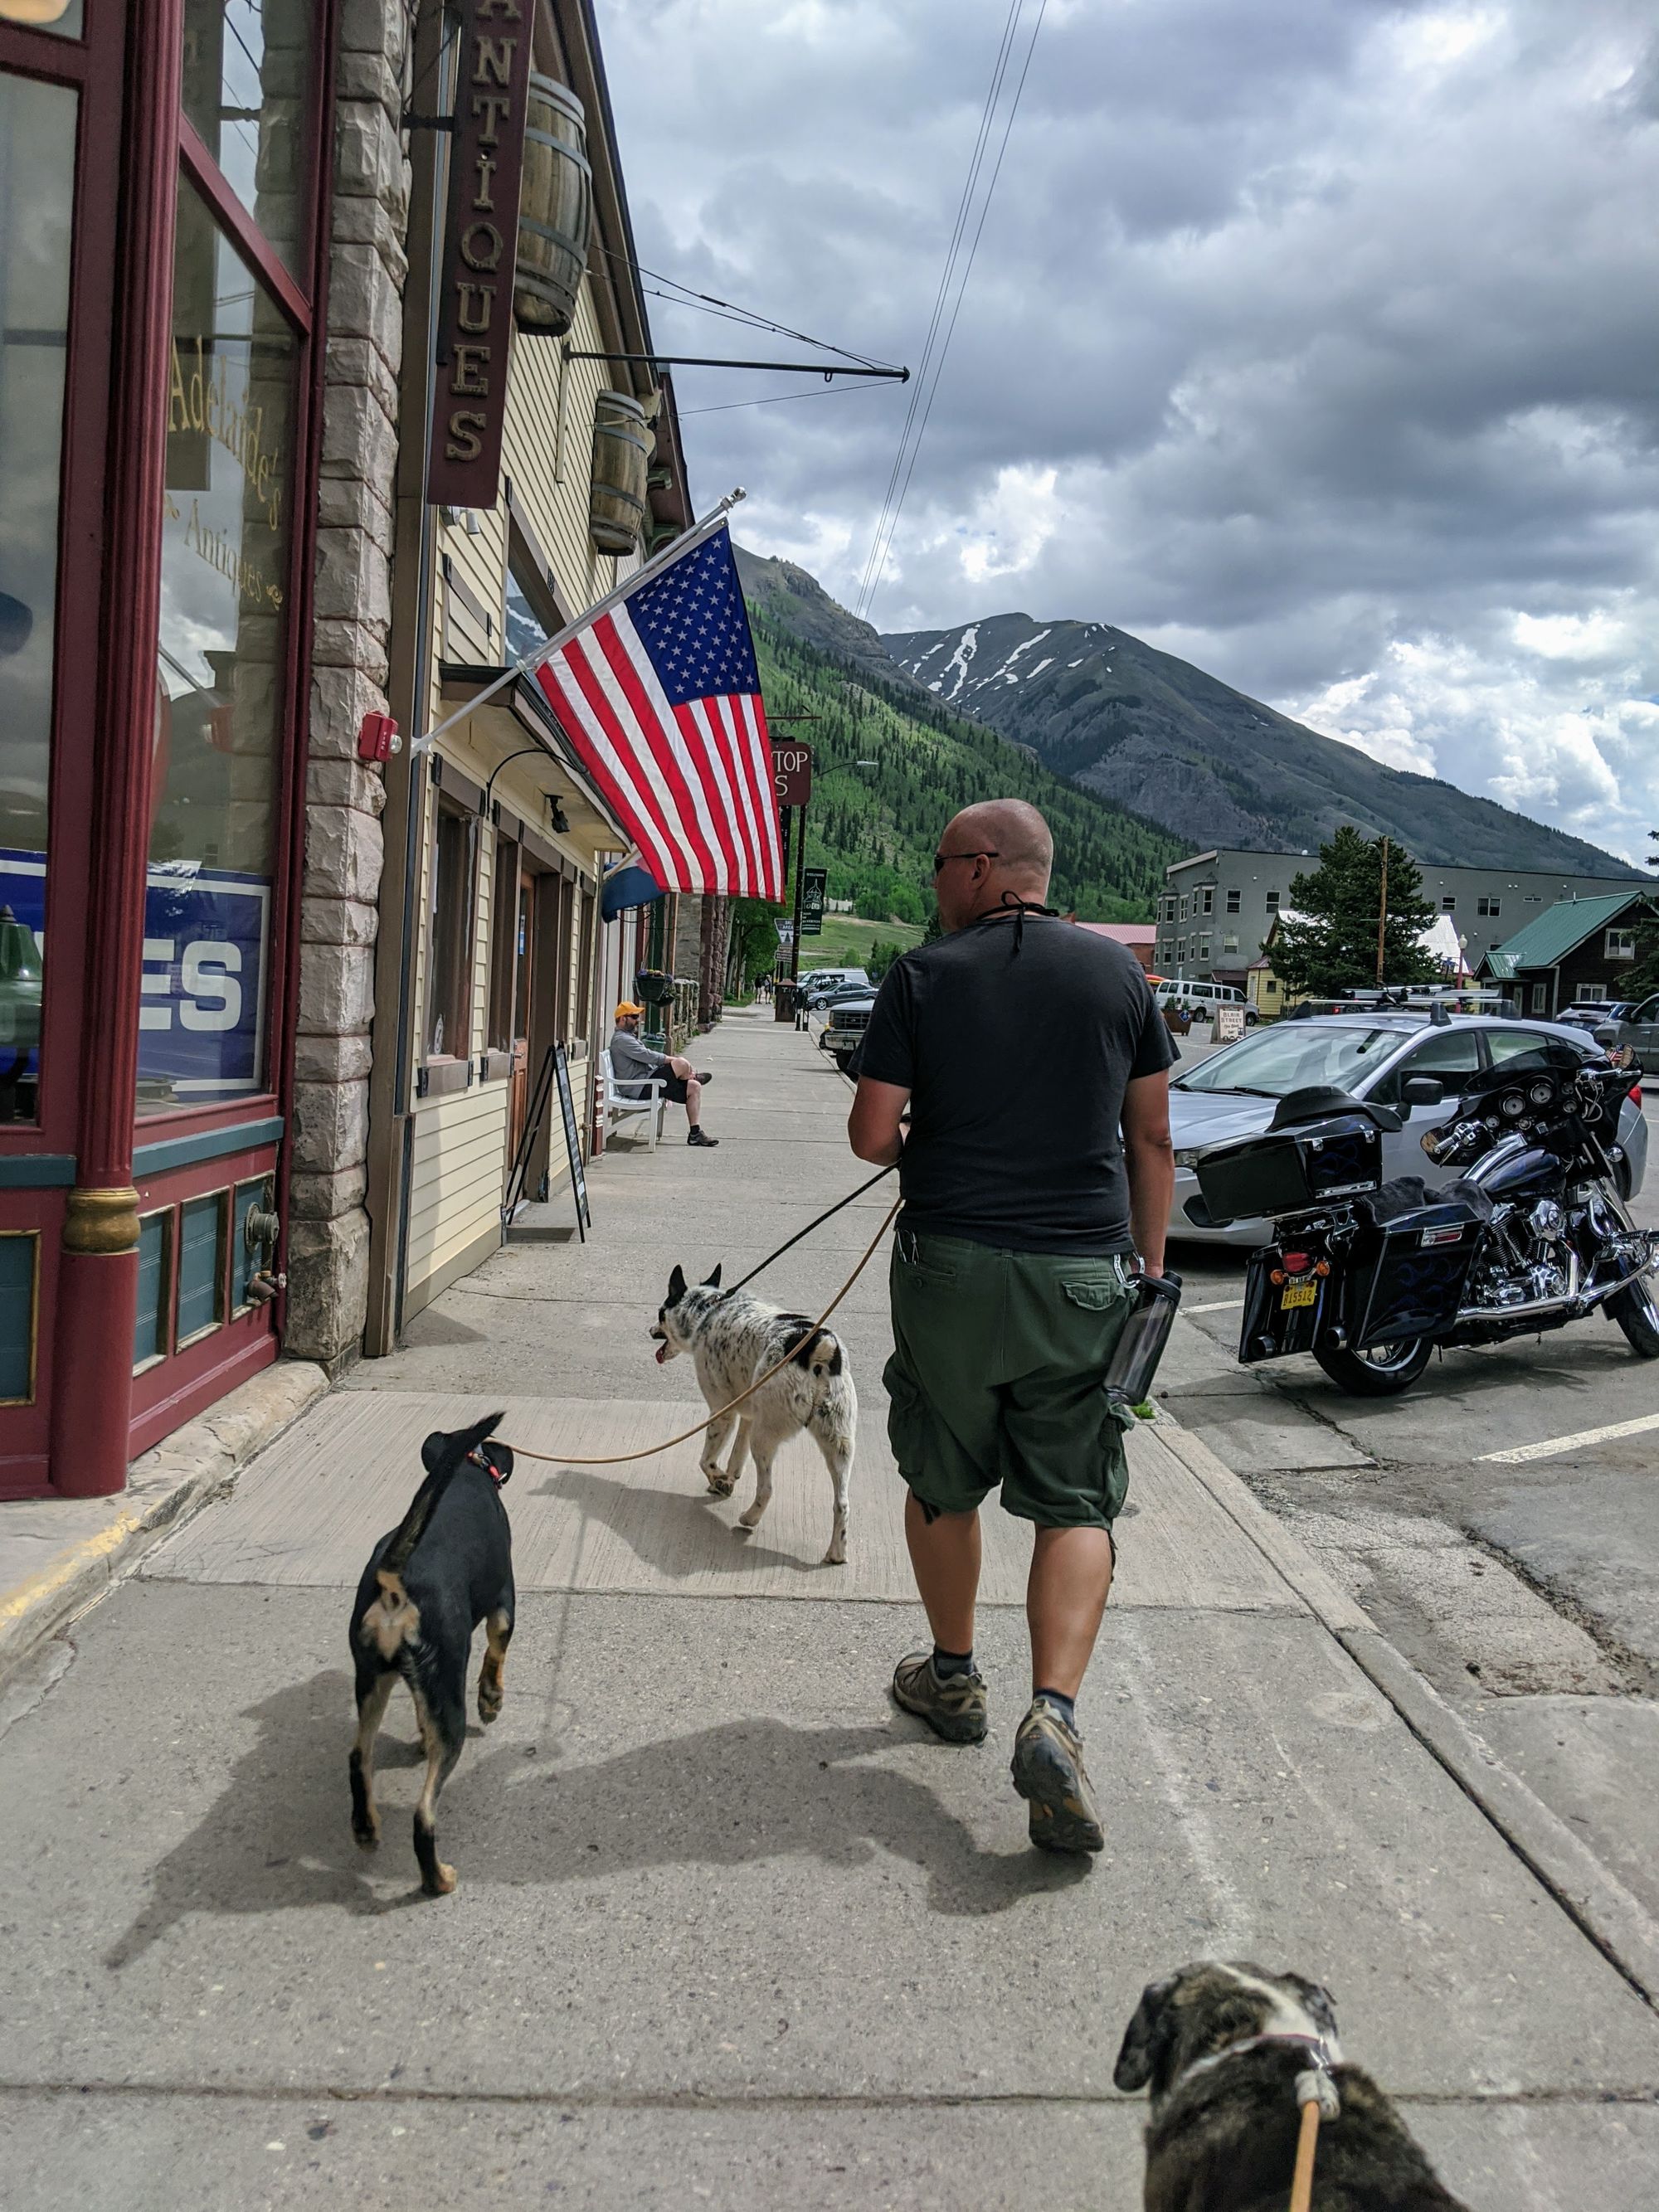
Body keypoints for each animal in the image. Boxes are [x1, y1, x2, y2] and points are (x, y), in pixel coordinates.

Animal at [345, 1407, 513, 1893]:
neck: (468, 1472)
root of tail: (395, 1585)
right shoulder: (504, 1603)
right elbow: (497, 1653)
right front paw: (491, 1701)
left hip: (372, 1679)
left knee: (358, 1758)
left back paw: (366, 1828)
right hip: (447, 1696)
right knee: (424, 1818)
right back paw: (438, 1879)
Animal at [650, 1274, 858, 1566]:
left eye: (661, 1313)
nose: (650, 1330)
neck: (708, 1309)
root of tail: (818, 1348)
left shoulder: (722, 1411)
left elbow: (706, 1460)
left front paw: (720, 1481)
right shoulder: (747, 1413)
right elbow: (736, 1455)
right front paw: (728, 1477)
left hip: (764, 1439)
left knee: (767, 1488)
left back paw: (750, 1518)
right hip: (839, 1444)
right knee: (842, 1503)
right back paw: (836, 1553)